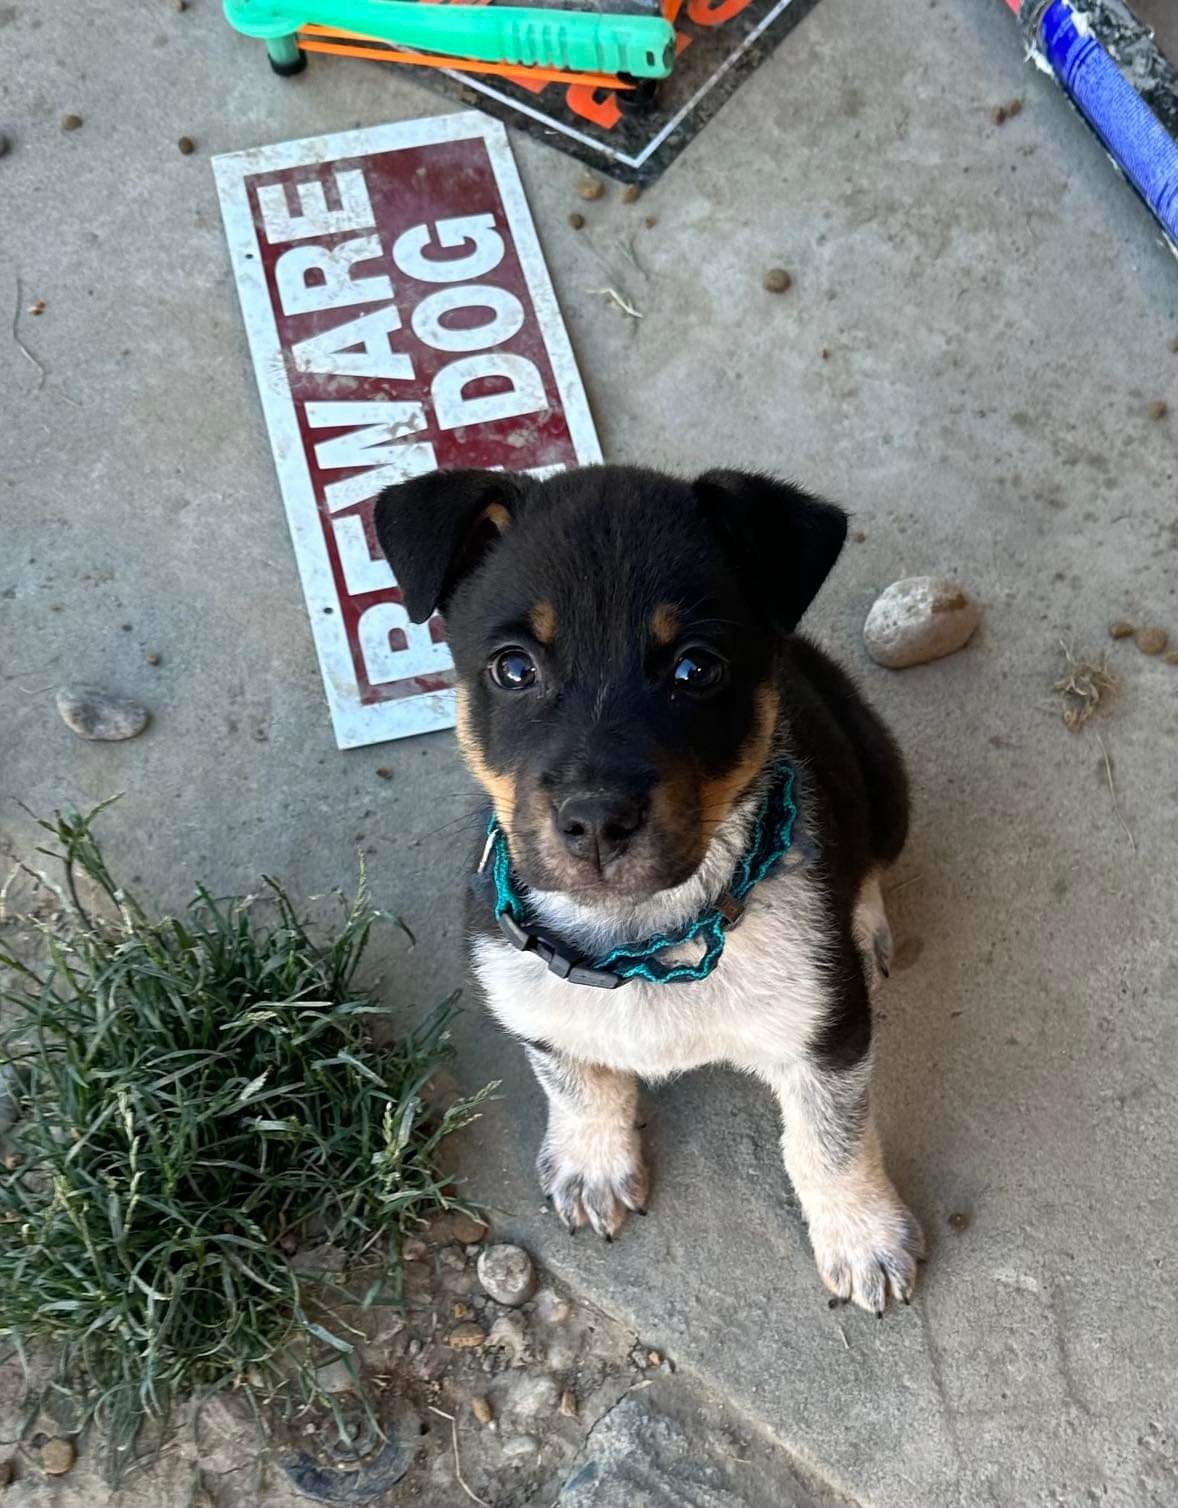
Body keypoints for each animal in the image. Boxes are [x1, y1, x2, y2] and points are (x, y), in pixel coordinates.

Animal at [372, 464, 923, 1314]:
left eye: (696, 668)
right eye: (513, 668)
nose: (597, 819)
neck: (644, 942)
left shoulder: (827, 1034)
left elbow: (830, 1140)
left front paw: (863, 1236)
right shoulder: (530, 993)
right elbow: (574, 1079)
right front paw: (593, 1162)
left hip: (884, 777)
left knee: (871, 862)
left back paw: (863, 926)